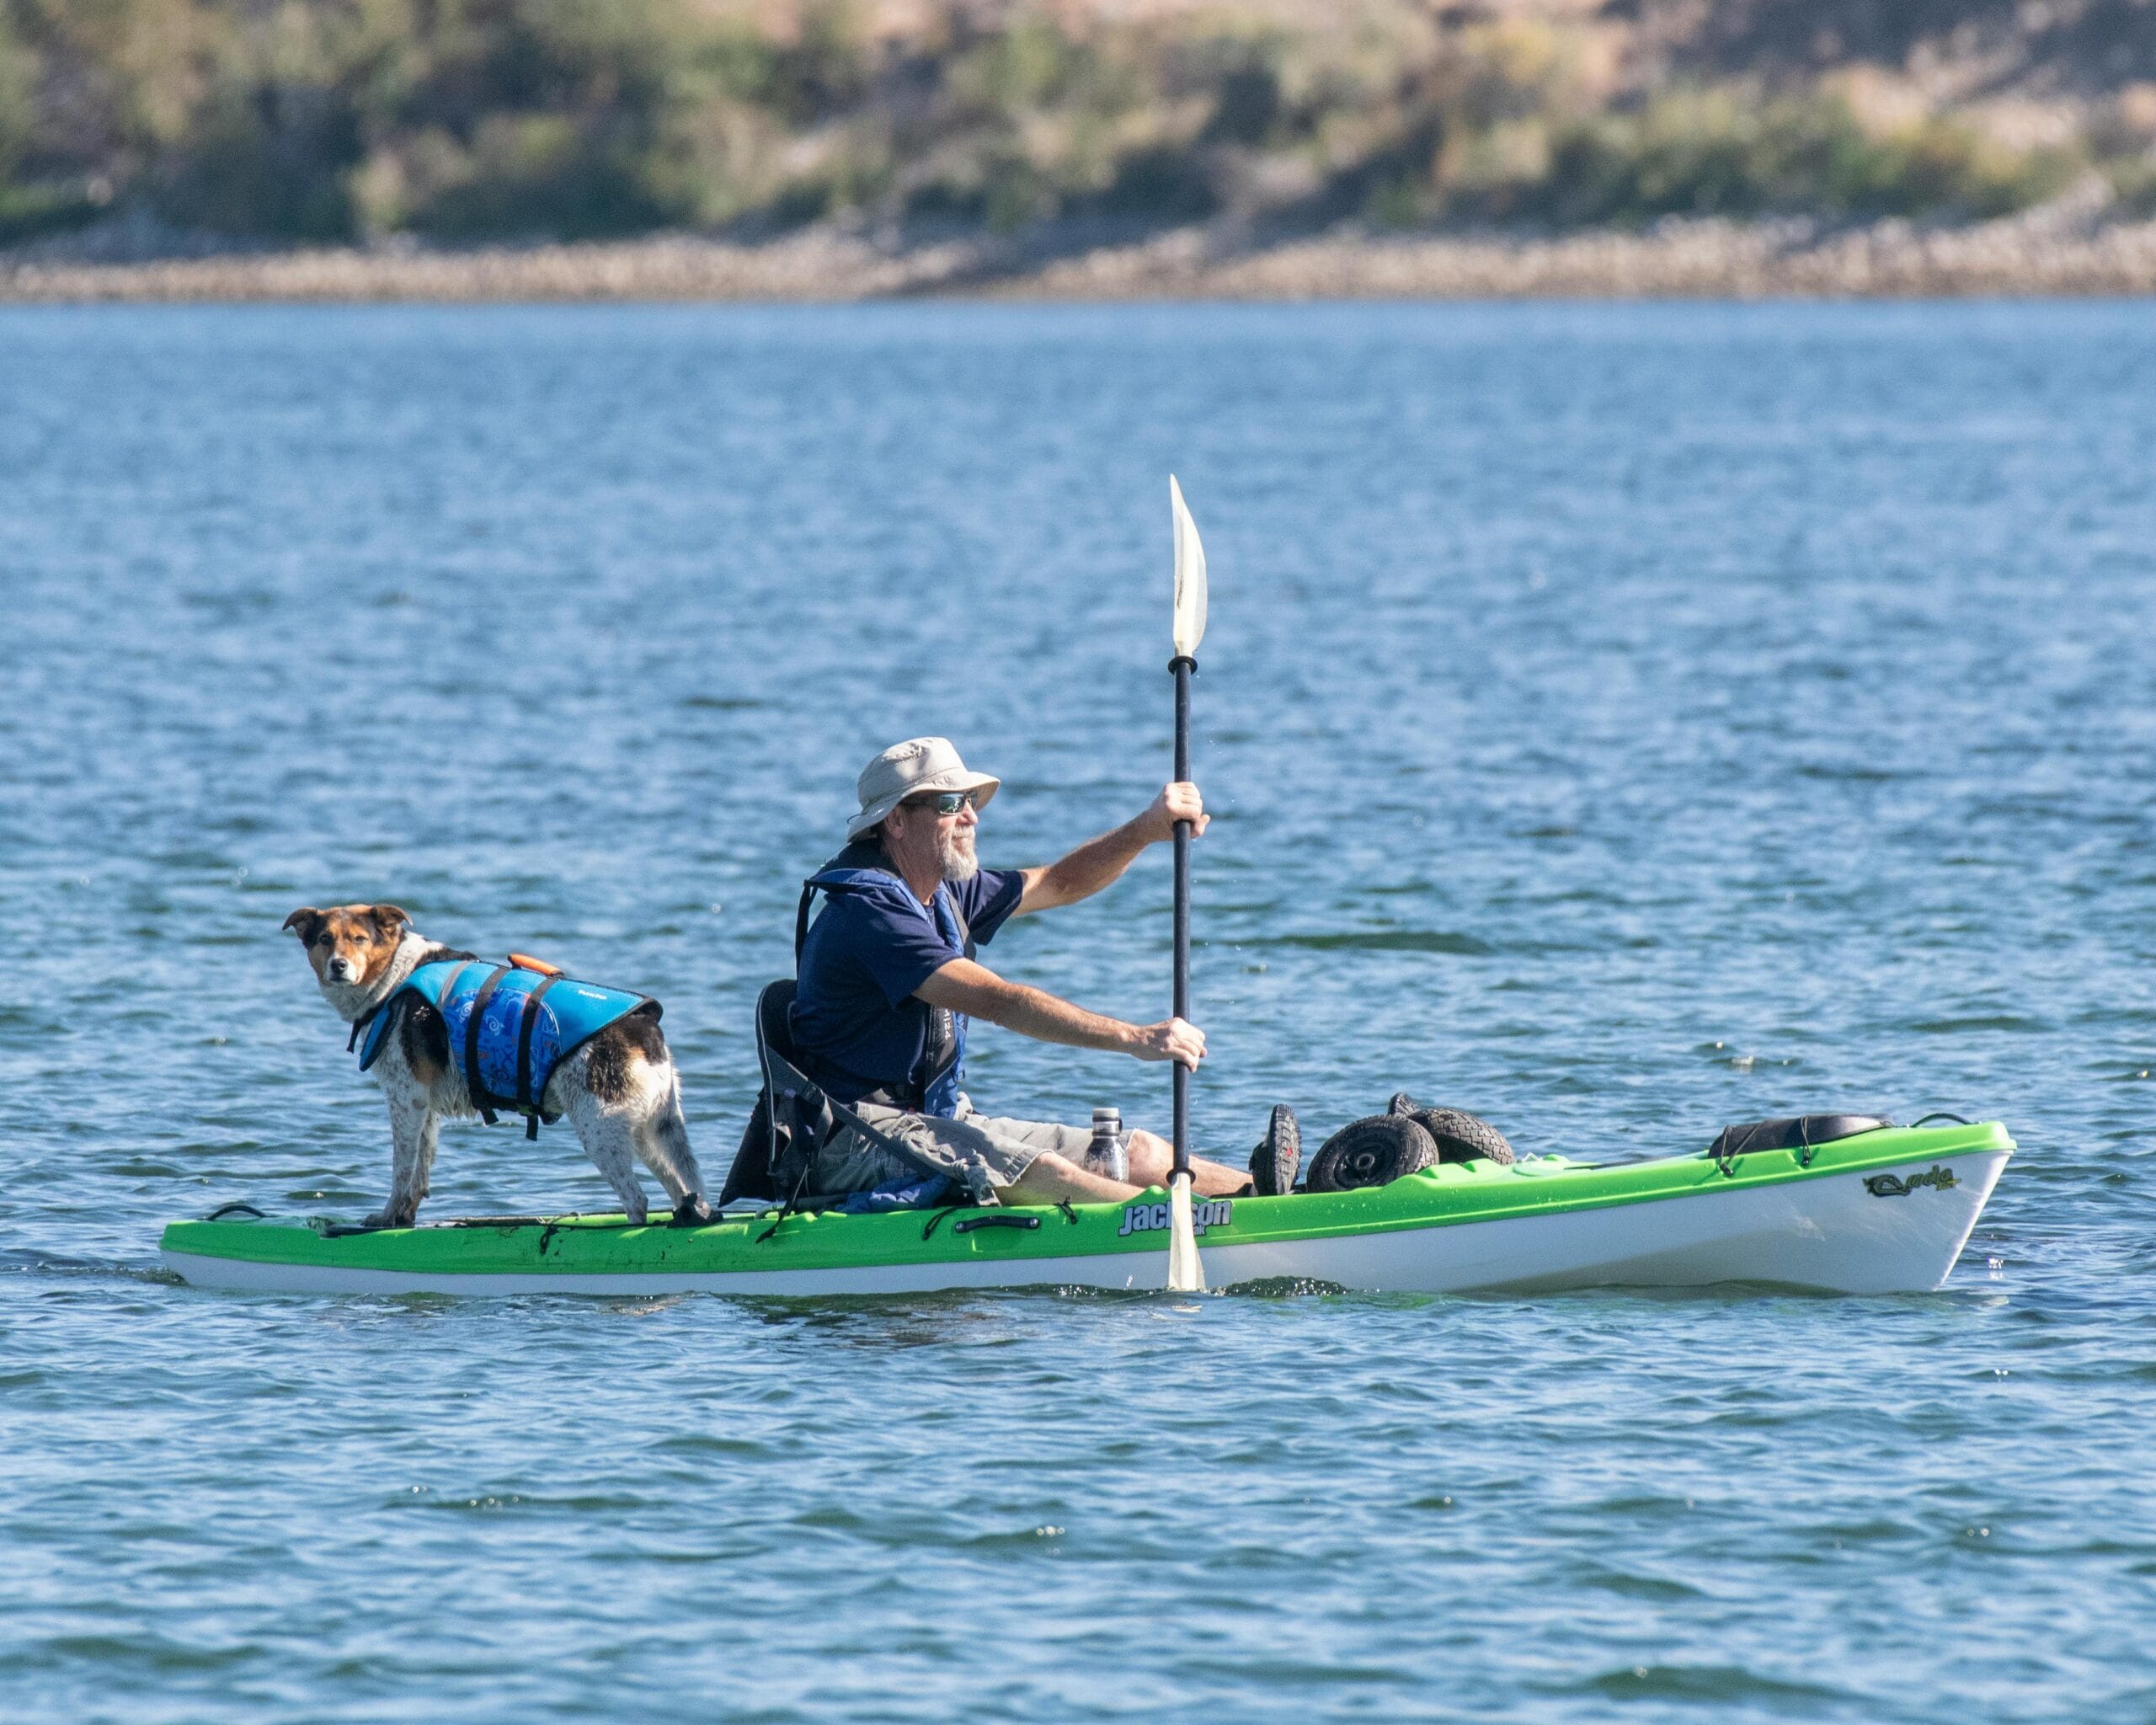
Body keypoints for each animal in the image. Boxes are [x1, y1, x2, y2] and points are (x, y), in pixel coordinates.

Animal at [280, 901, 707, 1225]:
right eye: (324, 939)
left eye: (359, 939)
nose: (338, 966)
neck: (395, 977)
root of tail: (642, 1026)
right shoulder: (425, 1107)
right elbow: (420, 1170)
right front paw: (404, 1219)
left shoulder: (406, 1098)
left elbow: (401, 1171)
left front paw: (385, 1218)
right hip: (655, 1131)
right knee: (689, 1196)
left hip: (600, 1129)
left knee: (638, 1203)